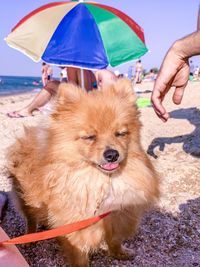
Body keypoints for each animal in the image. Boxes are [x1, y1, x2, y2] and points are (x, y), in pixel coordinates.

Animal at [8, 79, 159, 267]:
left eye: (120, 134)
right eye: (89, 137)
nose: (112, 154)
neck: (101, 181)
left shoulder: (117, 216)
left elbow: (115, 240)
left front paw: (120, 253)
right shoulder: (76, 228)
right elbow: (79, 255)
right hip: (26, 199)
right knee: (30, 218)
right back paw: (31, 235)